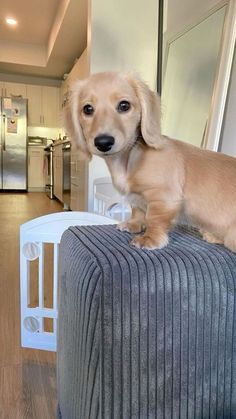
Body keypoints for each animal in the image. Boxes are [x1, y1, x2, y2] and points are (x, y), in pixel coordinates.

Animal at [63, 70, 236, 251]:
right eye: (87, 109)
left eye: (124, 106)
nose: (103, 142)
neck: (129, 159)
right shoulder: (135, 197)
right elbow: (137, 210)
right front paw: (134, 224)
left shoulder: (163, 197)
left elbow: (154, 218)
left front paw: (150, 238)